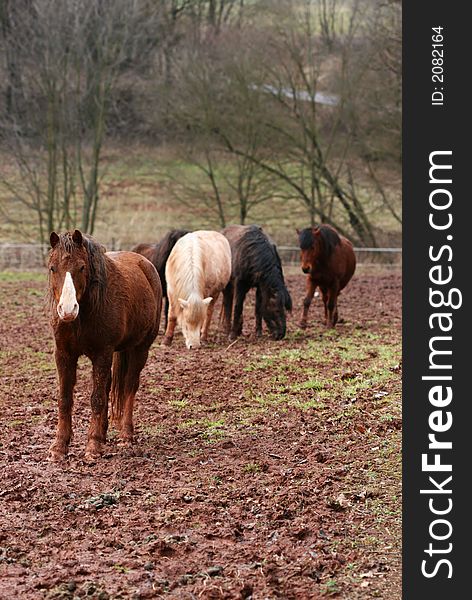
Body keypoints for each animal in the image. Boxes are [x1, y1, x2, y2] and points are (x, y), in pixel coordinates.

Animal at [47, 230, 162, 460]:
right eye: (53, 268)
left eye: (81, 267)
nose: (67, 309)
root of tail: (145, 264)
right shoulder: (63, 354)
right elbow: (65, 399)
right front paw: (59, 447)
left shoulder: (102, 354)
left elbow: (97, 398)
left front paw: (93, 445)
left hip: (140, 349)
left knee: (129, 387)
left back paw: (125, 435)